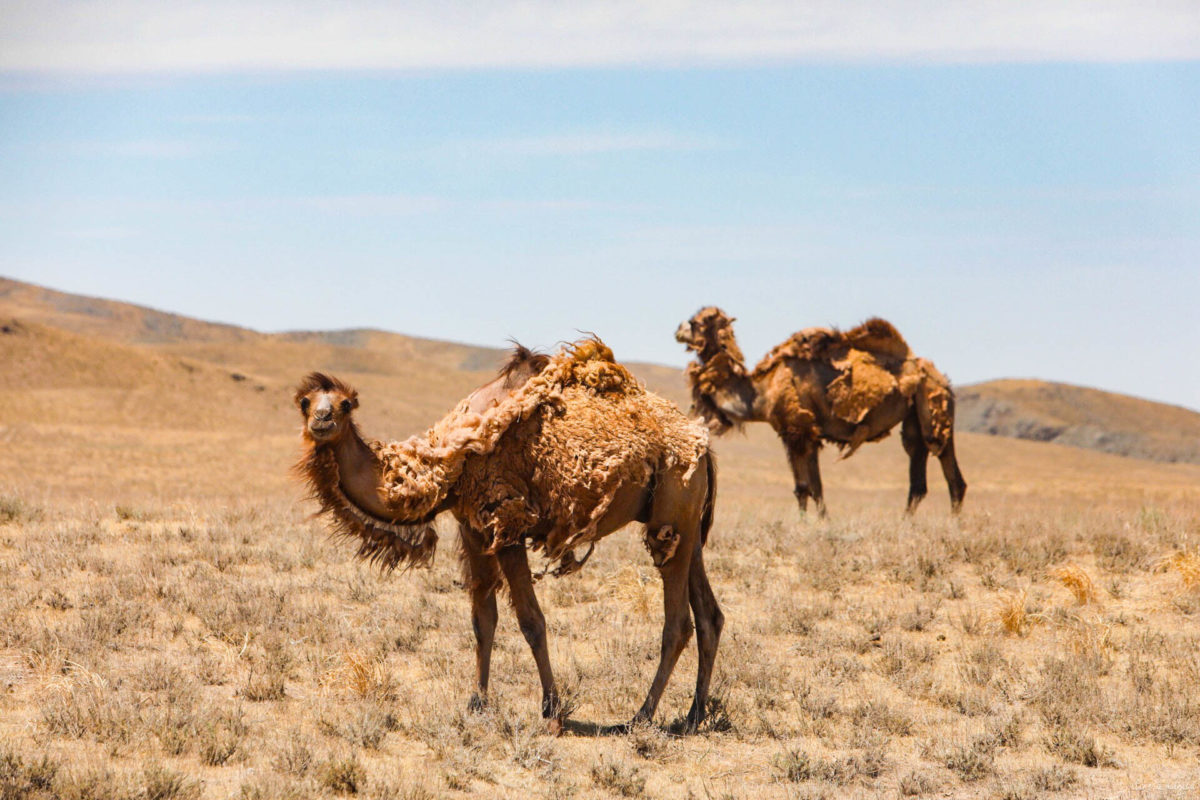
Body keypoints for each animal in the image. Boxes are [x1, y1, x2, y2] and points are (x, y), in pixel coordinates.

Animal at [295, 338, 720, 734]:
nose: (322, 421)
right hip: (688, 527)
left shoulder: (509, 524)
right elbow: (483, 619)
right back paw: (694, 715)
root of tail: (704, 448)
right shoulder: (473, 528)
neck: (447, 465)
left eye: (345, 404)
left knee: (678, 623)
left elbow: (532, 621)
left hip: (671, 514)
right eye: (305, 402)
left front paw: (552, 712)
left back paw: (640, 716)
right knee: (710, 615)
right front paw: (477, 703)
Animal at [676, 307, 964, 520]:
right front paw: (821, 521)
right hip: (914, 417)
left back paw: (953, 525)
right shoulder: (804, 434)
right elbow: (813, 487)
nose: (678, 330)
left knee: (949, 469)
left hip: (935, 408)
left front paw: (807, 524)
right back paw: (906, 523)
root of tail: (941, 379)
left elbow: (805, 487)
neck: (763, 390)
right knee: (918, 471)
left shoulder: (798, 430)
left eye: (696, 322)